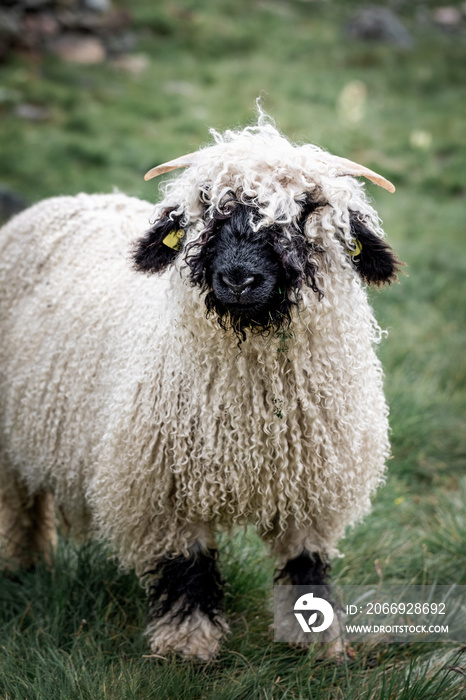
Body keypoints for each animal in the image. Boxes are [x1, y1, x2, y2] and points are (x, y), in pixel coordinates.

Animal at [0, 112, 400, 660]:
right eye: (206, 206)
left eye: (305, 209)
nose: (237, 279)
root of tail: (66, 199)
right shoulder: (161, 488)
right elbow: (185, 567)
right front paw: (187, 645)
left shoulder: (312, 489)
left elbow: (306, 564)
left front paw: (316, 639)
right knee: (18, 504)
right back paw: (24, 567)